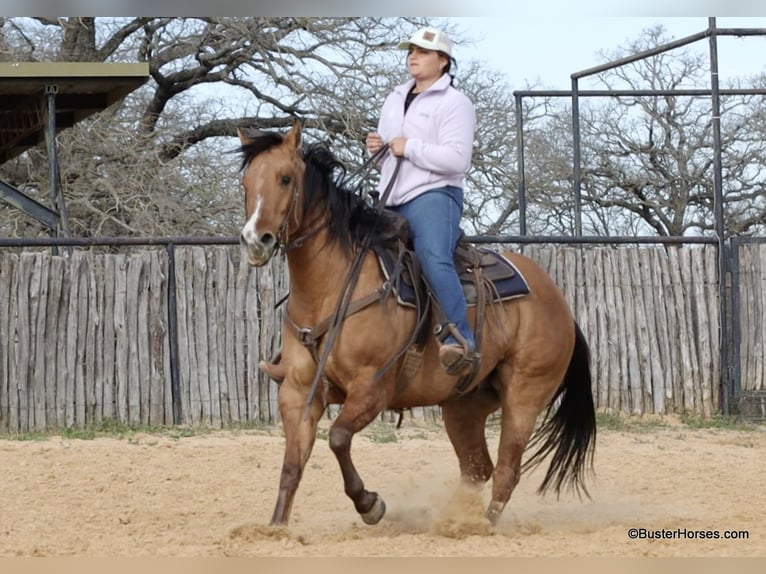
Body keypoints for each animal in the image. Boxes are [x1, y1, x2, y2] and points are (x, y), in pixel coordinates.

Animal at [237, 119, 596, 528]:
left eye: (284, 178)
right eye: (246, 182)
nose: (255, 240)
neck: (333, 285)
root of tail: (559, 302)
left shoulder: (372, 388)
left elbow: (339, 438)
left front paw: (370, 504)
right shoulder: (297, 392)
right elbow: (292, 465)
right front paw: (275, 528)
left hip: (524, 395)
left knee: (507, 470)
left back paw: (478, 526)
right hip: (464, 405)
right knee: (478, 468)